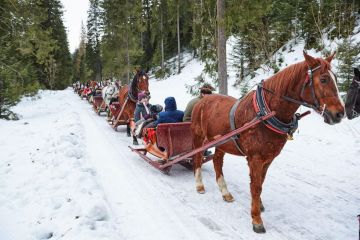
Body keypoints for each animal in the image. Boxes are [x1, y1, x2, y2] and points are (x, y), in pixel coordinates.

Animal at [191, 51, 346, 233]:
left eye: (335, 77)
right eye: (323, 79)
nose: (339, 114)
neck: (266, 113)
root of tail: (203, 100)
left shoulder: (268, 158)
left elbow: (260, 183)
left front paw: (258, 206)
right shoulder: (255, 158)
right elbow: (256, 186)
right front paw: (257, 220)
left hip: (223, 143)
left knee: (217, 161)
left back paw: (225, 192)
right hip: (199, 137)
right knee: (197, 158)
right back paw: (199, 185)